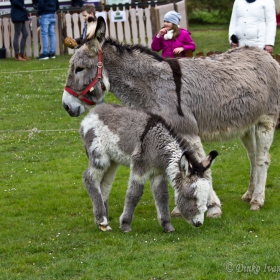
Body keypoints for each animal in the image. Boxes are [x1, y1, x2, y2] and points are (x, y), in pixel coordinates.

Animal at [80, 104, 218, 231]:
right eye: (191, 197)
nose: (199, 223)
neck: (156, 144)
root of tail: (93, 111)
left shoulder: (158, 172)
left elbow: (162, 195)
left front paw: (167, 226)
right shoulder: (140, 167)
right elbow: (134, 194)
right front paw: (125, 225)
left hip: (112, 161)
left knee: (104, 184)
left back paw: (103, 222)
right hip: (99, 155)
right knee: (89, 178)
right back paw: (102, 219)